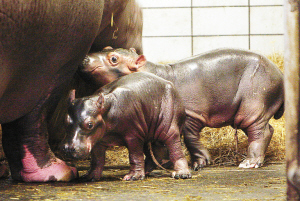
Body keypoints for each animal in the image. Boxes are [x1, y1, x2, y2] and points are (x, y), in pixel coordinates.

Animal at [61, 72, 191, 181]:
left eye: (89, 124)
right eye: (65, 121)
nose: (68, 149)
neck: (106, 108)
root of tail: (171, 85)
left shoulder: (133, 136)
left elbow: (135, 155)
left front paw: (133, 177)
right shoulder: (98, 141)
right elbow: (97, 160)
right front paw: (89, 177)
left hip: (168, 127)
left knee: (175, 148)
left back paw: (181, 174)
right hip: (147, 131)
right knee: (157, 153)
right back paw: (146, 172)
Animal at [78, 47, 284, 170]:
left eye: (113, 58)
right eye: (107, 48)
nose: (85, 56)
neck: (150, 71)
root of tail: (280, 74)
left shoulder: (191, 116)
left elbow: (191, 139)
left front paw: (199, 163)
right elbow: (153, 145)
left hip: (252, 108)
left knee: (259, 132)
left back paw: (249, 163)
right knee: (268, 130)